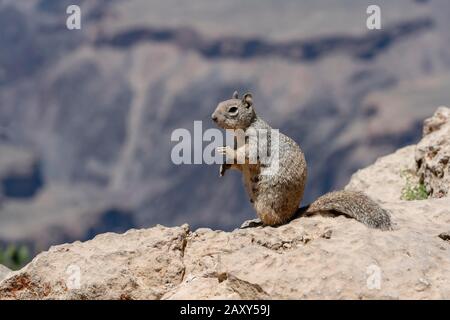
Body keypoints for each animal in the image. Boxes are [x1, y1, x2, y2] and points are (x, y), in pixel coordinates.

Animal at [211, 90, 390, 230]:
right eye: (219, 103)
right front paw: (223, 166)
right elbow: (240, 164)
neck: (241, 130)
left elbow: (248, 154)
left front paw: (225, 150)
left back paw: (259, 223)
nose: (213, 117)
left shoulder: (258, 139)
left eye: (233, 109)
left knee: (275, 221)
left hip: (266, 200)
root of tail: (294, 213)